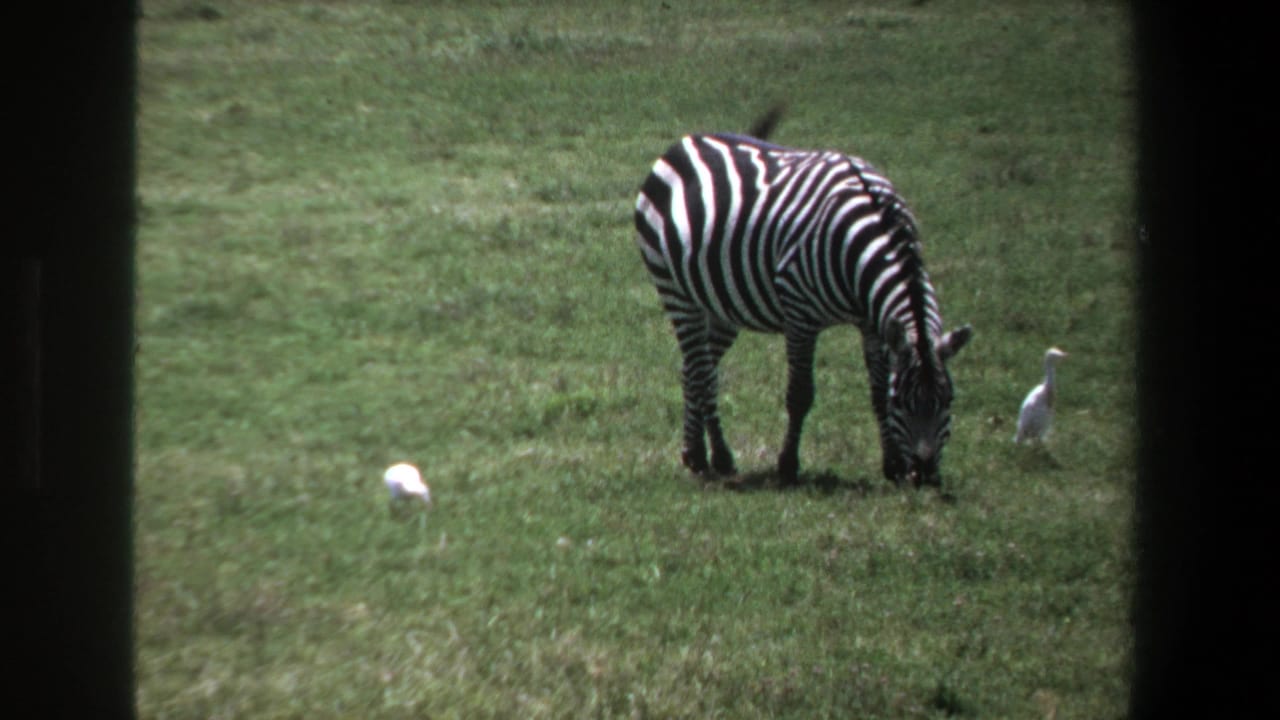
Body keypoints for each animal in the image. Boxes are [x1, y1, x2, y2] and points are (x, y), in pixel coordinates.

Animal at [633, 111, 972, 486]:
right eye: (903, 401)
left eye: (949, 399)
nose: (924, 475)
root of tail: (686, 141)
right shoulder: (800, 315)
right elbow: (800, 394)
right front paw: (787, 465)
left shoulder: (872, 323)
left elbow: (875, 390)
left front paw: (892, 464)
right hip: (676, 291)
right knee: (702, 373)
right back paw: (715, 457)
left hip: (722, 305)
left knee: (693, 368)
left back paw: (694, 453)